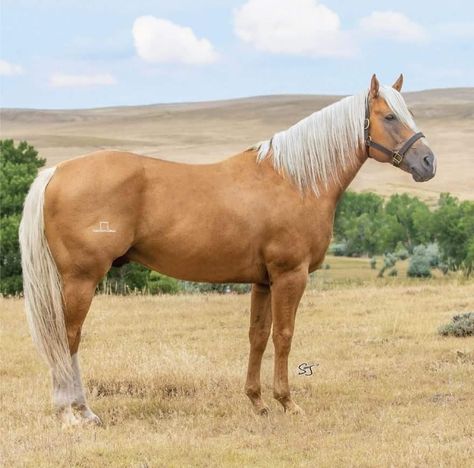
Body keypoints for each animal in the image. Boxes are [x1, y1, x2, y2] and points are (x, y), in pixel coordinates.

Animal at [20, 75, 436, 426]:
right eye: (389, 116)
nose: (428, 162)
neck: (294, 181)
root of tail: (56, 172)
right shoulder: (290, 276)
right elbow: (284, 335)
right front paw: (287, 402)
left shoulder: (263, 282)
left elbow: (258, 335)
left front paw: (257, 401)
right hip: (81, 280)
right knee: (68, 339)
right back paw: (75, 413)